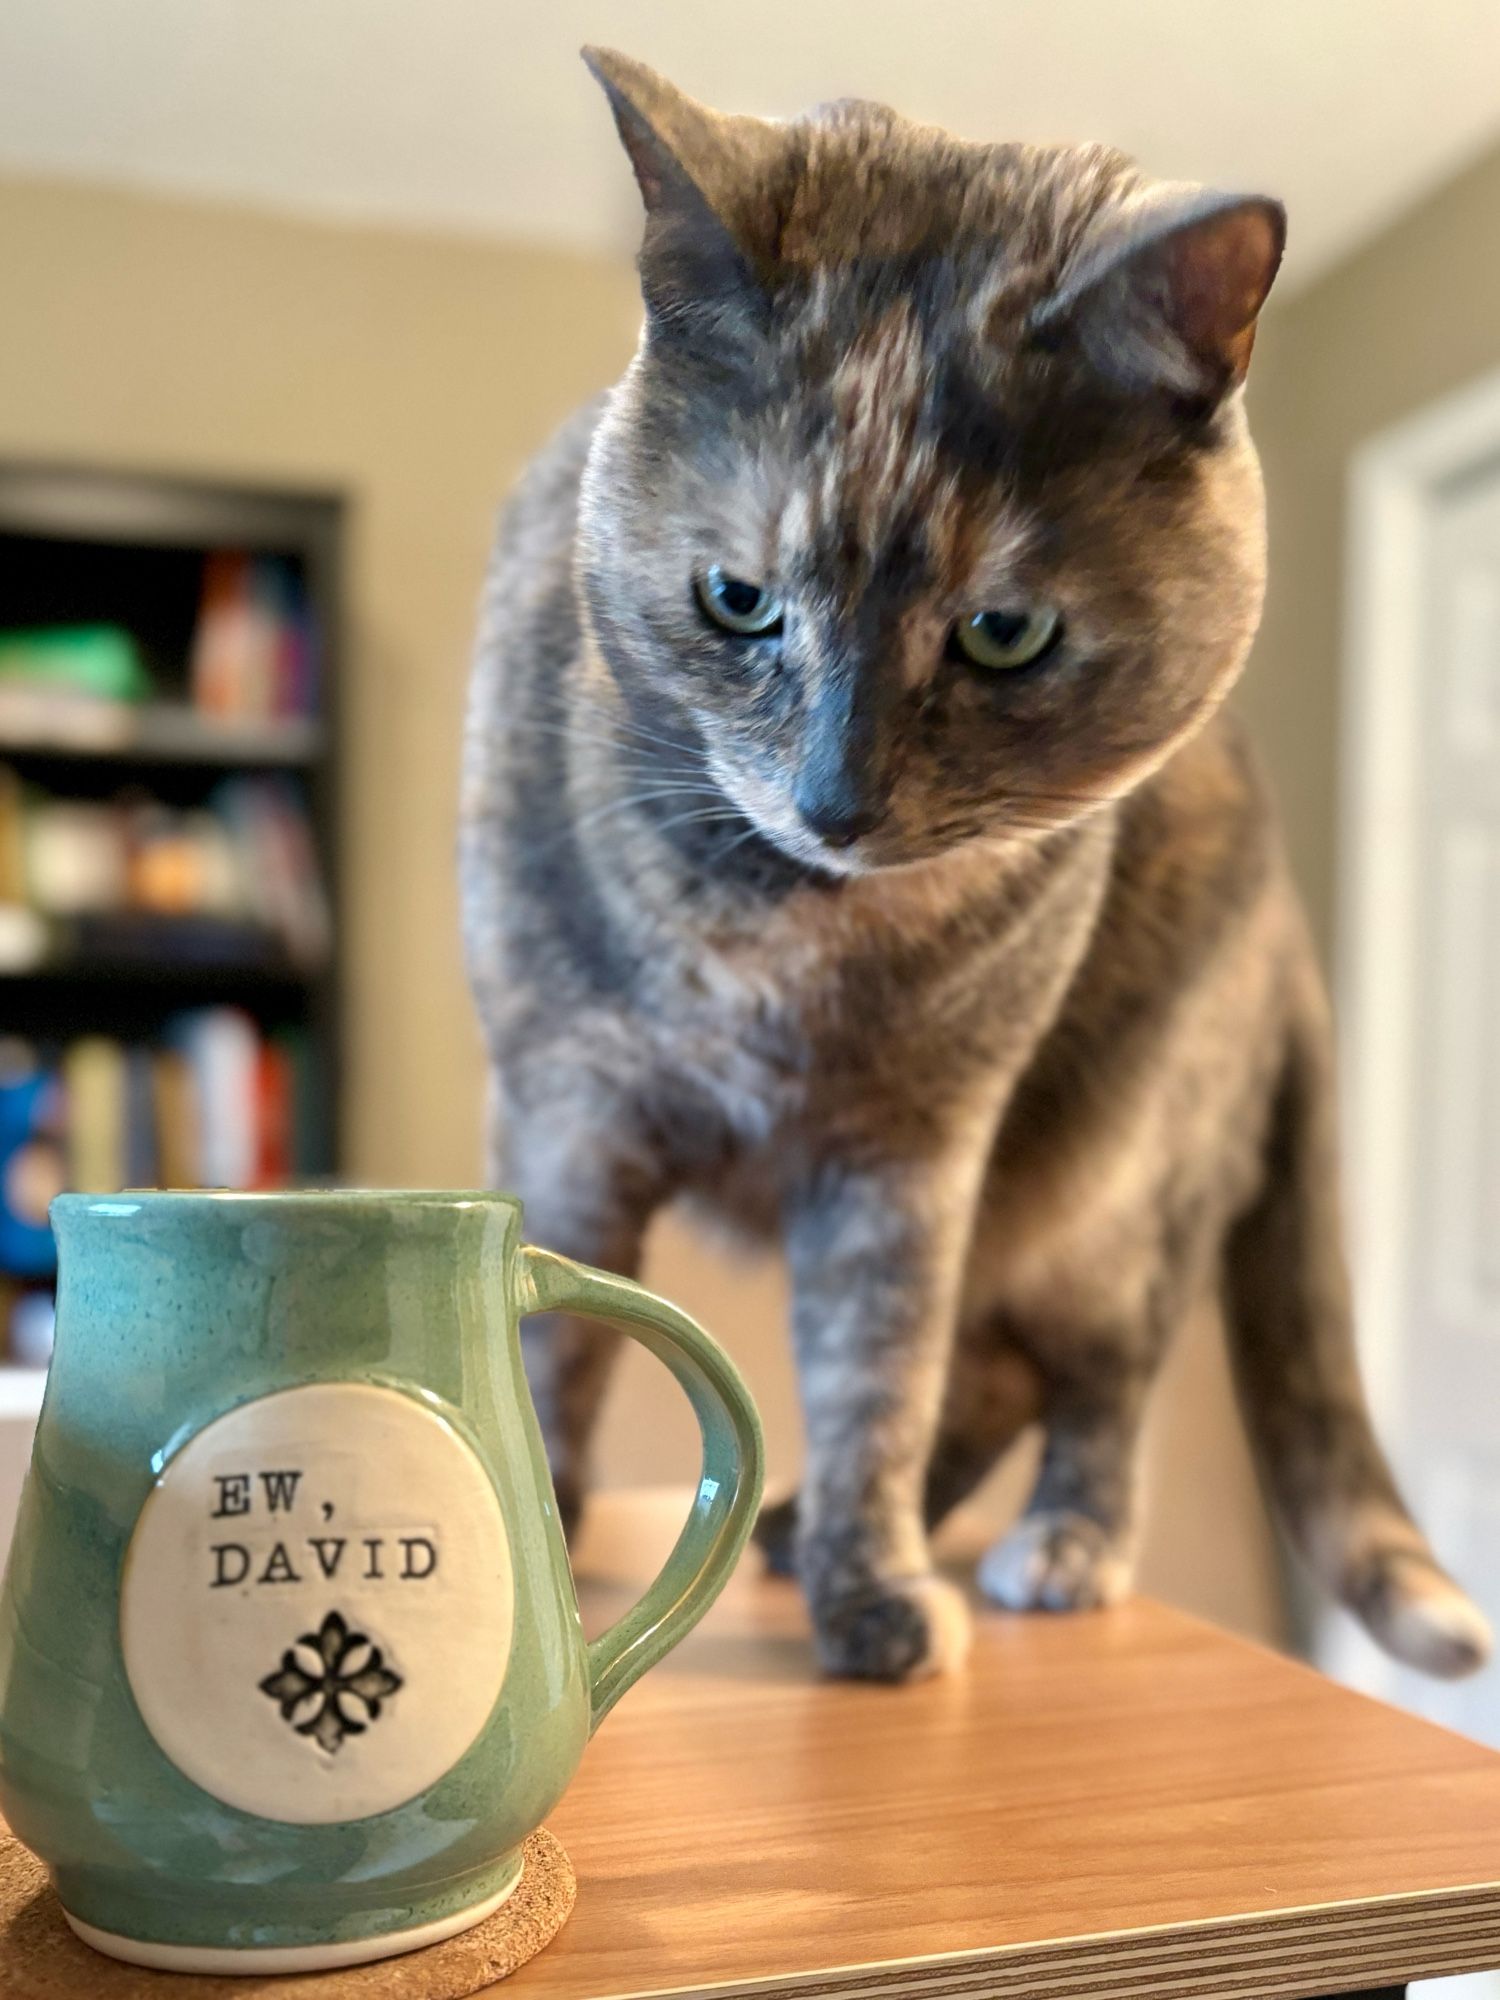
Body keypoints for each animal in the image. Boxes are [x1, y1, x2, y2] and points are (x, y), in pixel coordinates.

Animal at [458, 47, 1496, 1680]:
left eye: (1004, 633)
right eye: (735, 598)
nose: (834, 799)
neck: (782, 935)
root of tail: (1288, 911)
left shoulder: (914, 1155)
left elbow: (876, 1369)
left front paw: (872, 1590)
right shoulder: (571, 1112)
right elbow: (556, 1342)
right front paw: (554, 1543)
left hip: (1120, 1175)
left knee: (1094, 1370)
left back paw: (1052, 1546)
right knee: (998, 1368)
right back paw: (786, 1532)